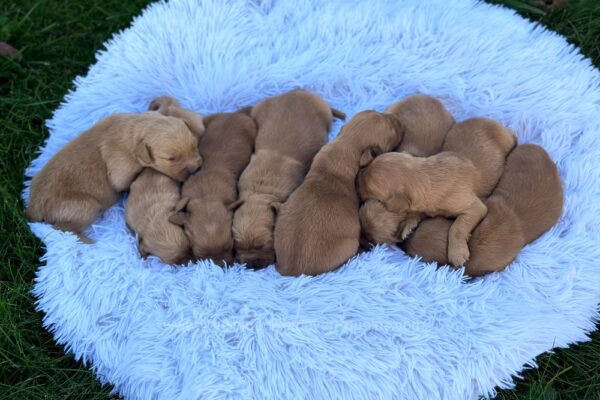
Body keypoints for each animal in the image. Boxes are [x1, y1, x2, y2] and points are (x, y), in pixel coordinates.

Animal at [232, 89, 342, 268]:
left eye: (264, 245)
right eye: (238, 245)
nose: (251, 265)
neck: (261, 190)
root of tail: (296, 90)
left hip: (323, 111)